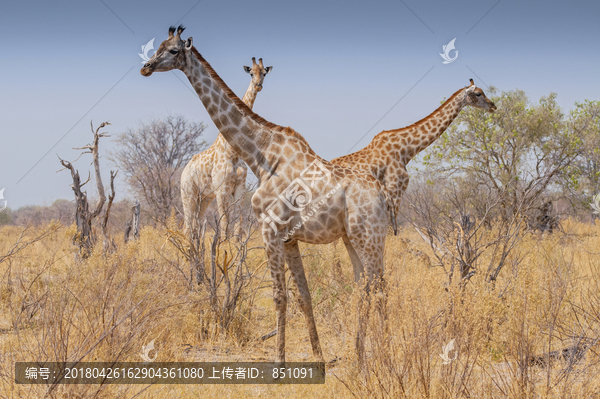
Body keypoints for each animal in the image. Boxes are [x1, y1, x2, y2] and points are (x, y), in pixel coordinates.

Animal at [178, 56, 272, 241]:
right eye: (251, 72)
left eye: (264, 73)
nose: (258, 85)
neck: (232, 151)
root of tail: (184, 171)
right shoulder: (221, 189)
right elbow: (223, 225)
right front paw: (223, 245)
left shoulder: (239, 188)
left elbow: (237, 224)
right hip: (189, 194)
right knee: (187, 227)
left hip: (204, 198)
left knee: (196, 225)